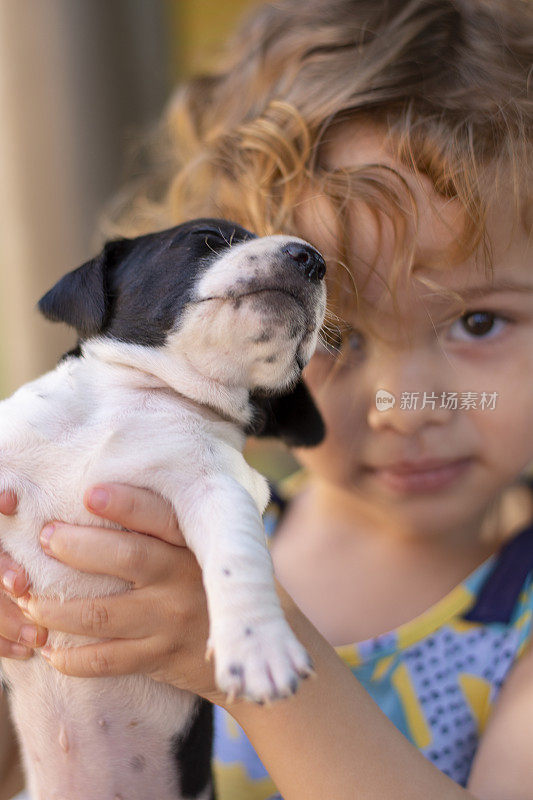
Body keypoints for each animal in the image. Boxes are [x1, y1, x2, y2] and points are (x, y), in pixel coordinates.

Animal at [0, 219, 326, 800]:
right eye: (208, 238)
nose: (313, 259)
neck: (137, 399)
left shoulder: (221, 487)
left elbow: (237, 558)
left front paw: (259, 643)